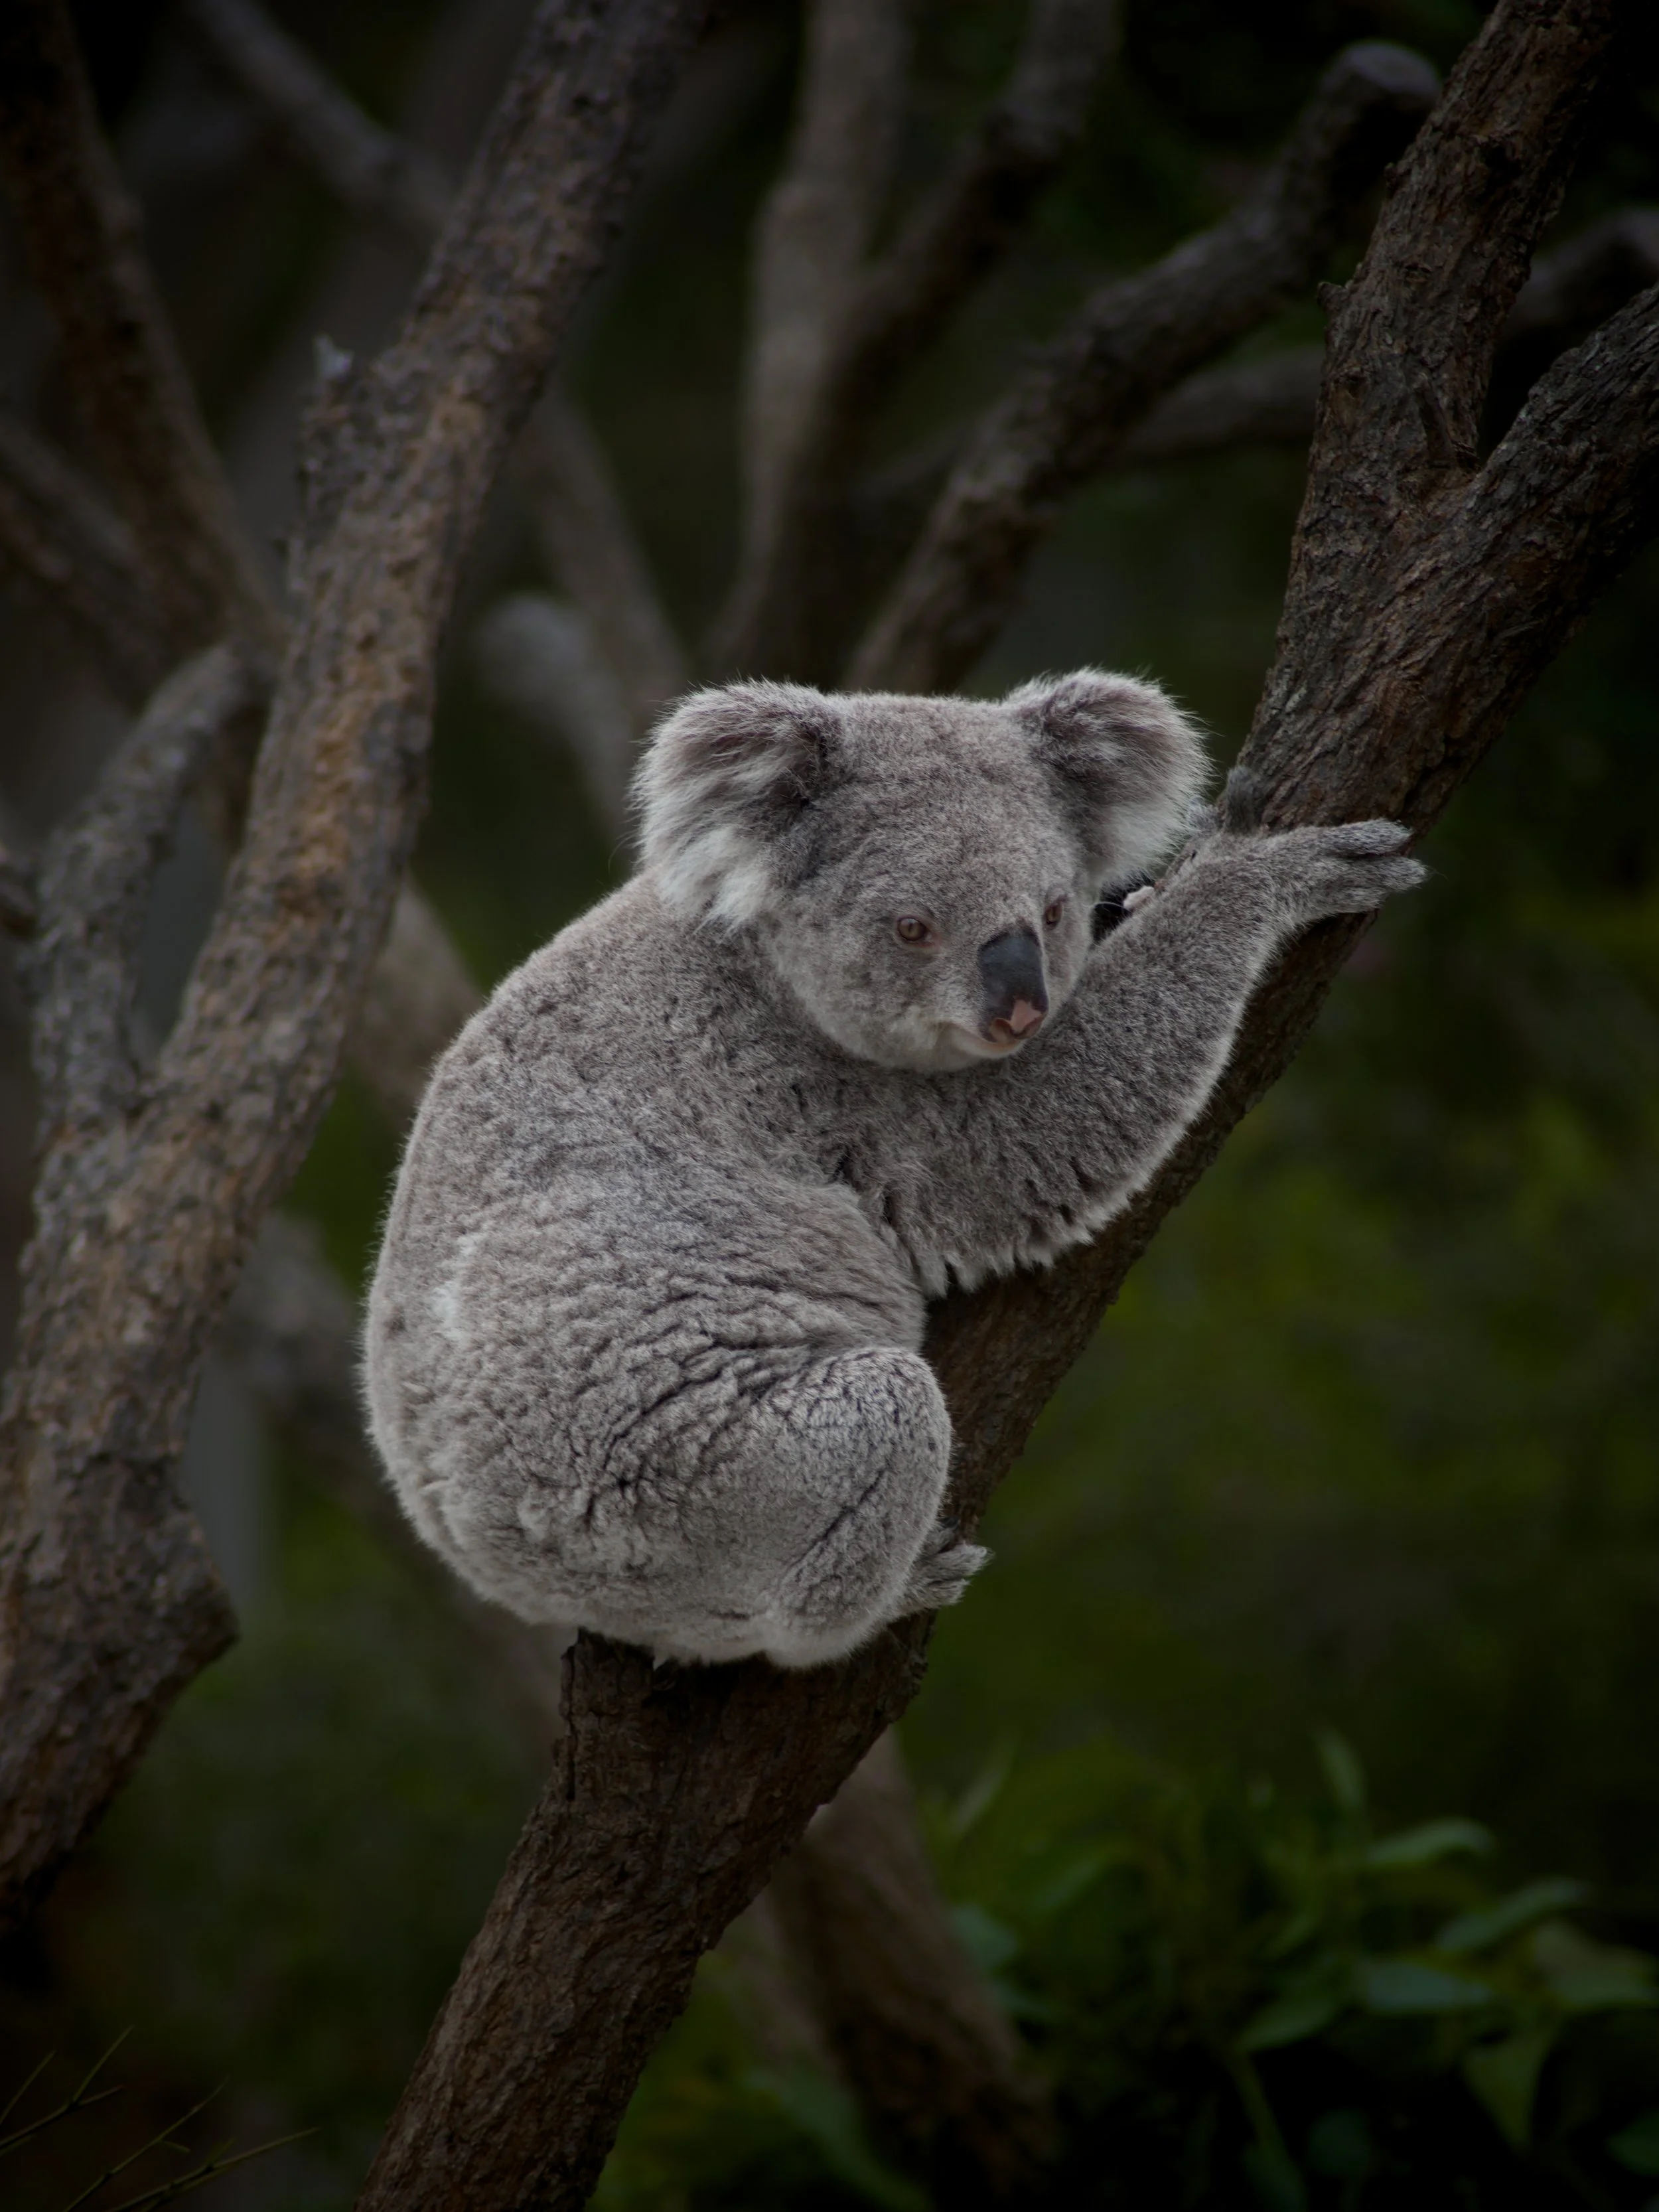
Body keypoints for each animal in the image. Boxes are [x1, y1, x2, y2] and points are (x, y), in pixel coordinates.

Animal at [363, 671, 1423, 1668]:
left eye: (1054, 910)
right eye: (913, 928)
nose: (1020, 1008)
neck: (761, 963)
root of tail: (488, 1555)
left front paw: (1168, 882)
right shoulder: (845, 1100)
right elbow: (1030, 1145)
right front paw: (1274, 870)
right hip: (690, 1484)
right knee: (861, 1474)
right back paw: (901, 1587)